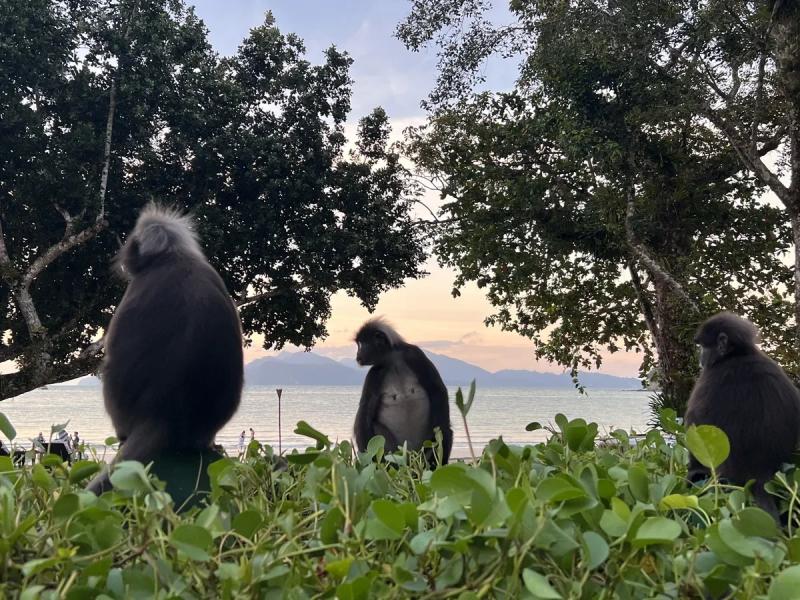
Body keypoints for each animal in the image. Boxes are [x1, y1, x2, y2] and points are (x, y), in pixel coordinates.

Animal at [354, 316, 454, 466]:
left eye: (362, 344)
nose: (357, 355)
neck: (392, 360)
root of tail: (409, 460)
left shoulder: (414, 354)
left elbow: (437, 390)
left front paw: (439, 432)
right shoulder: (375, 373)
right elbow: (365, 413)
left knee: (445, 433)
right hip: (394, 453)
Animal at [680, 312, 800, 516]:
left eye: (703, 346)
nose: (700, 357)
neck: (738, 354)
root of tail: (759, 474)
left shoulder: (709, 377)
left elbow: (696, 427)